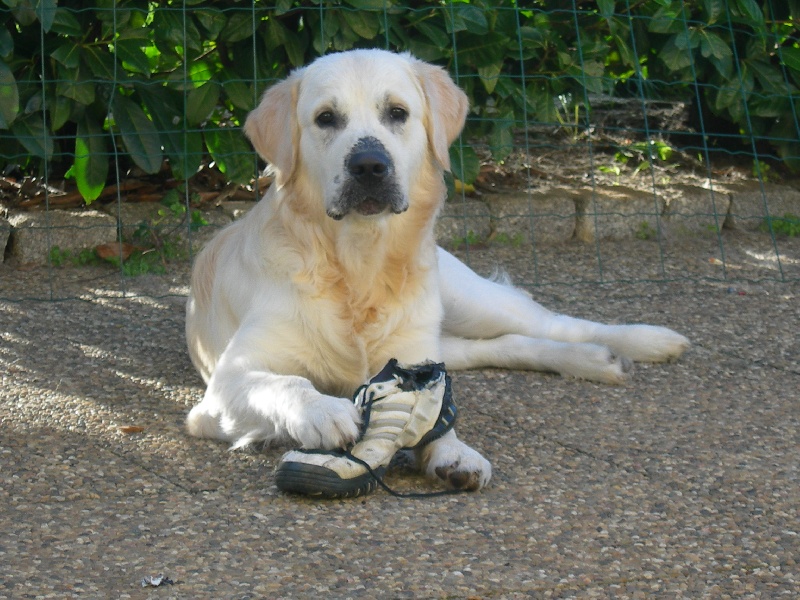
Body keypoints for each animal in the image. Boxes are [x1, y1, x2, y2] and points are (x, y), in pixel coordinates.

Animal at [186, 50, 688, 492]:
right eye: (326, 118)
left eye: (397, 112)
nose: (369, 165)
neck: (358, 266)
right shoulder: (222, 388)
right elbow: (288, 381)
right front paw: (324, 413)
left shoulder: (414, 359)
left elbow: (437, 414)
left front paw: (454, 450)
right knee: (507, 345)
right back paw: (600, 360)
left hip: (470, 302)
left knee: (555, 324)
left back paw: (643, 341)